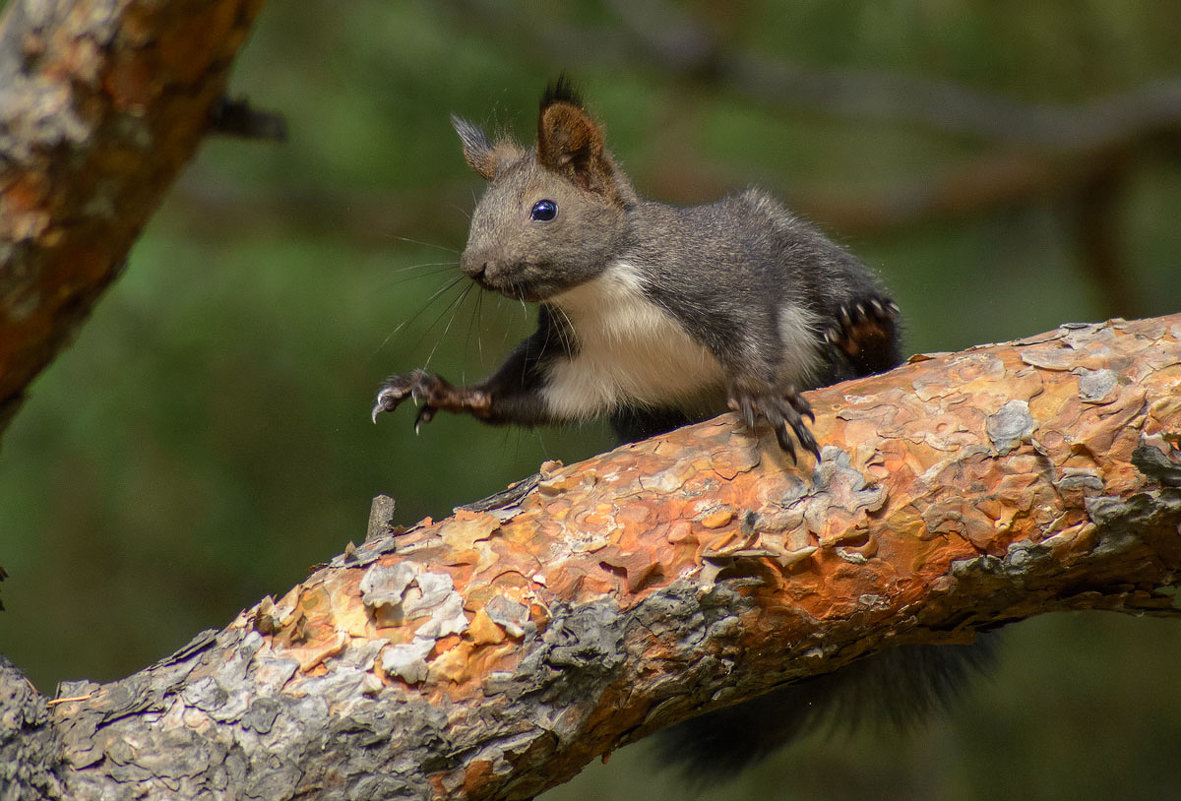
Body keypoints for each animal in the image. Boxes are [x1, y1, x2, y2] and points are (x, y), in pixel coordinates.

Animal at [373, 79, 992, 784]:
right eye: (479, 210)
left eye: (544, 209)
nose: (475, 266)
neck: (601, 292)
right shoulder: (573, 363)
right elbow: (512, 398)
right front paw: (436, 389)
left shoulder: (718, 280)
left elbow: (753, 336)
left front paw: (760, 396)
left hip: (817, 268)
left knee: (864, 344)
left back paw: (863, 332)